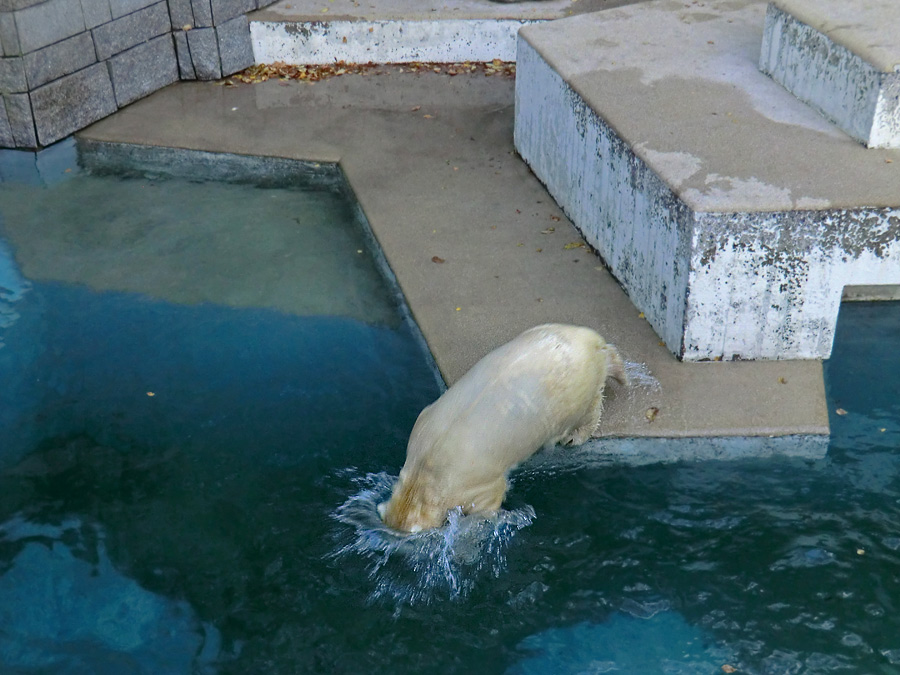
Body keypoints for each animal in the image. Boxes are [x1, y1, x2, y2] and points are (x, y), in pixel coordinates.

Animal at [378, 324, 624, 532]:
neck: (427, 468)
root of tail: (591, 340)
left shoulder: (473, 482)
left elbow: (490, 498)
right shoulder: (424, 421)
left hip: (574, 390)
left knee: (587, 409)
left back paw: (575, 435)